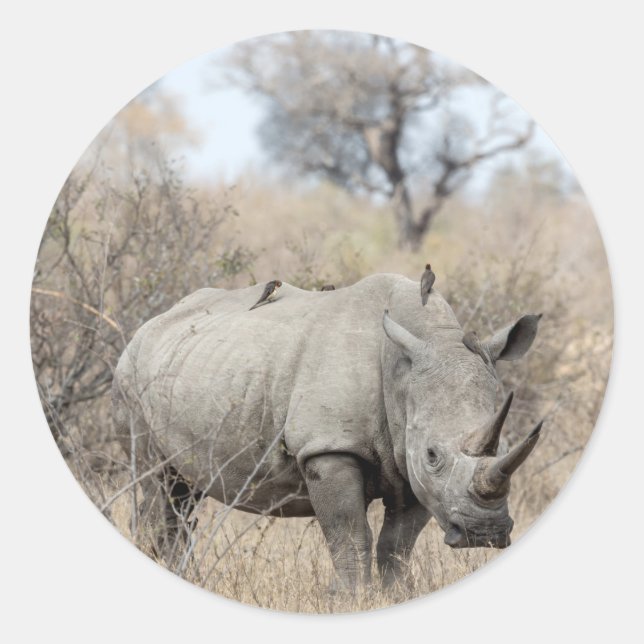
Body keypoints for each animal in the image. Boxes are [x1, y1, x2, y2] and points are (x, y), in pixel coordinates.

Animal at [112, 273, 542, 590]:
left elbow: (397, 545)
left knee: (184, 495)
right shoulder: (329, 448)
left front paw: (396, 595)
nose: (483, 533)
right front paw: (354, 598)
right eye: (433, 455)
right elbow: (350, 536)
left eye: (504, 445)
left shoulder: (410, 463)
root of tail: (150, 324)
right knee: (159, 484)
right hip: (131, 378)